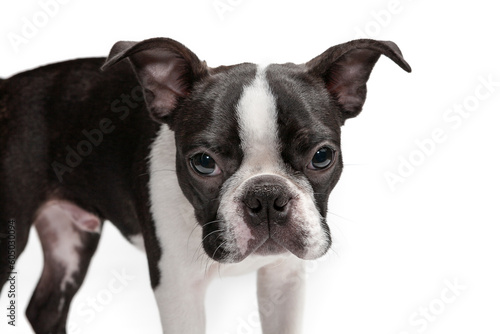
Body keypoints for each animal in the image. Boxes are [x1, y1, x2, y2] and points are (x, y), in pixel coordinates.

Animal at [0, 37, 410, 332]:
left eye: (322, 157)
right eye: (203, 162)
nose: (266, 196)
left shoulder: (284, 280)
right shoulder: (178, 290)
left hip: (71, 238)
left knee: (45, 307)